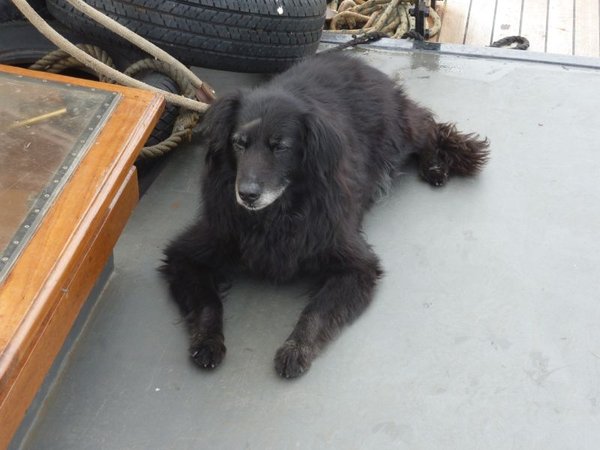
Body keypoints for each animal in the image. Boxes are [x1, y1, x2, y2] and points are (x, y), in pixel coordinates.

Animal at [161, 52, 489, 378]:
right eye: (239, 143)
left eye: (280, 146)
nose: (247, 194)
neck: (275, 215)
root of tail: (355, 61)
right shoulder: (187, 252)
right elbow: (207, 303)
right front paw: (207, 341)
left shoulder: (356, 264)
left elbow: (317, 311)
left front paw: (296, 349)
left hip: (400, 129)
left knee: (430, 127)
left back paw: (434, 165)